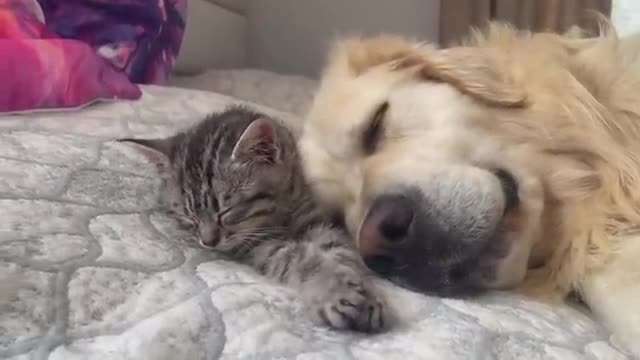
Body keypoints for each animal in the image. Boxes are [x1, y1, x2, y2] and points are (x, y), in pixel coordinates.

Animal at [120, 107, 390, 332]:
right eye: (189, 216)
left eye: (225, 211)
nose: (208, 242)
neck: (279, 213)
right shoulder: (257, 246)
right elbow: (296, 258)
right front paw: (335, 292)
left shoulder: (314, 219)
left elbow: (339, 250)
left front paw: (359, 289)